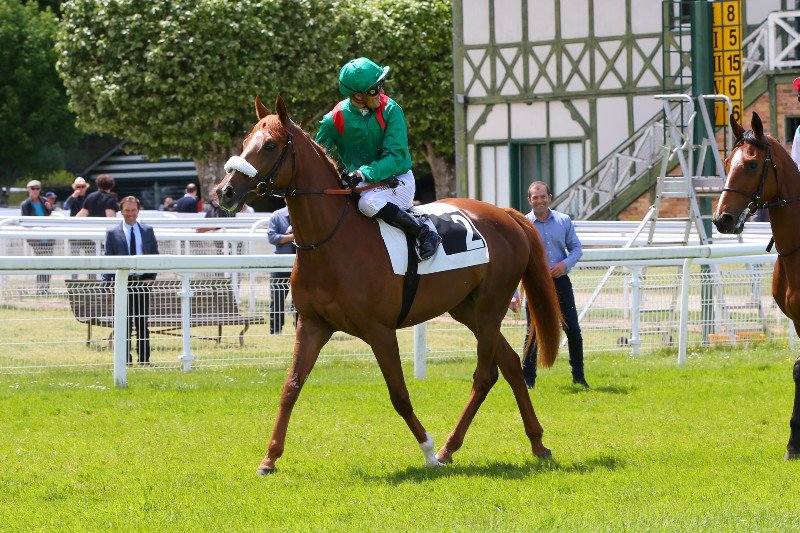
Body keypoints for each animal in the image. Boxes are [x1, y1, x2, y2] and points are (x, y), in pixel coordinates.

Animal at [216, 96, 563, 474]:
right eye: (245, 141)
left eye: (270, 145)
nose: (225, 191)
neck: (333, 242)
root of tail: (508, 215)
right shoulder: (312, 324)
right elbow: (291, 387)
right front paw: (269, 458)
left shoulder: (380, 330)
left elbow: (399, 394)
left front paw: (427, 451)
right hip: (466, 309)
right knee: (512, 364)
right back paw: (535, 443)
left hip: (489, 307)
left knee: (485, 375)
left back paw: (447, 449)